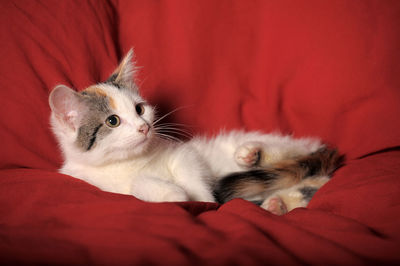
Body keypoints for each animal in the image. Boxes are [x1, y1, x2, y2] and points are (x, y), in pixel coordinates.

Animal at [47, 49, 340, 214]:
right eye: (113, 121)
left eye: (140, 109)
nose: (144, 127)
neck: (130, 162)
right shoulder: (104, 188)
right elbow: (137, 187)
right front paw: (174, 194)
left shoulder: (183, 152)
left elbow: (191, 170)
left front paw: (204, 198)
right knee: (306, 187)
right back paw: (276, 204)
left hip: (282, 148)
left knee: (286, 152)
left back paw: (251, 154)